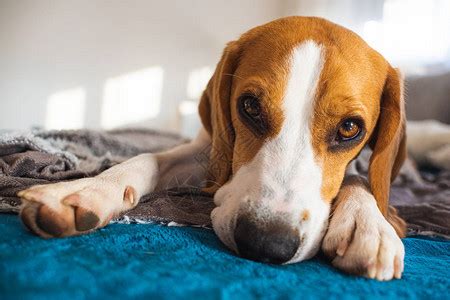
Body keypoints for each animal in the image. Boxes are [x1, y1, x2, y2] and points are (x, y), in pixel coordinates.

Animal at [17, 17, 406, 282]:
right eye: (249, 107)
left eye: (350, 128)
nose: (265, 243)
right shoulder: (209, 155)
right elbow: (147, 159)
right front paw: (88, 190)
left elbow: (361, 179)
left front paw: (368, 223)